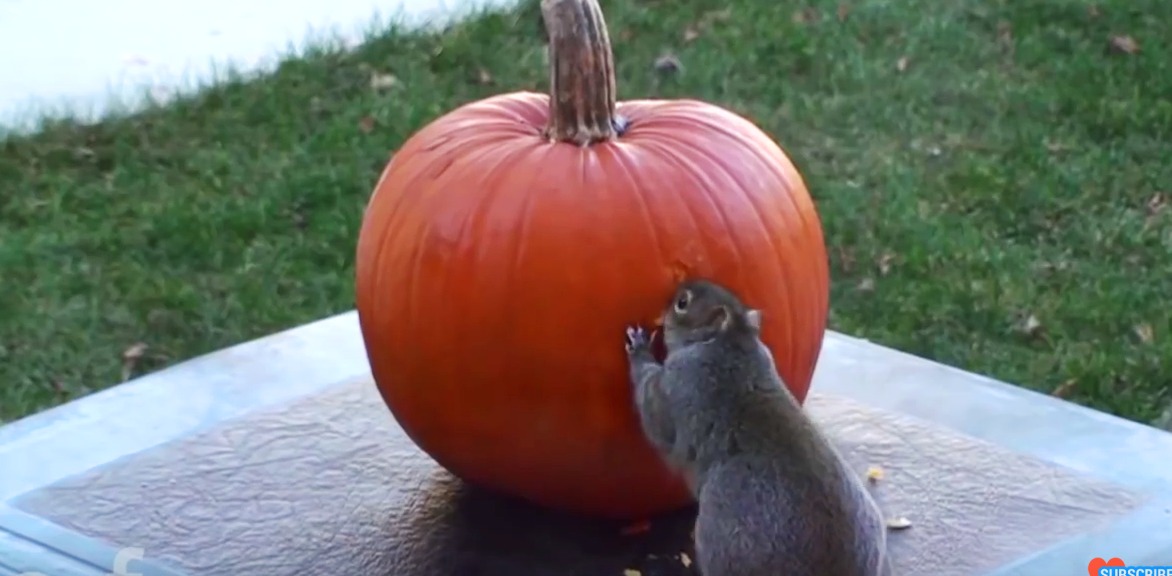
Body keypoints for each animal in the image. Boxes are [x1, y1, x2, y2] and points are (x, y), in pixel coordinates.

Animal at [623, 276, 886, 574]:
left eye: (682, 303)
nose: (677, 289)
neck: (730, 342)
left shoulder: (682, 383)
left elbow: (655, 414)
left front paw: (639, 348)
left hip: (723, 540)